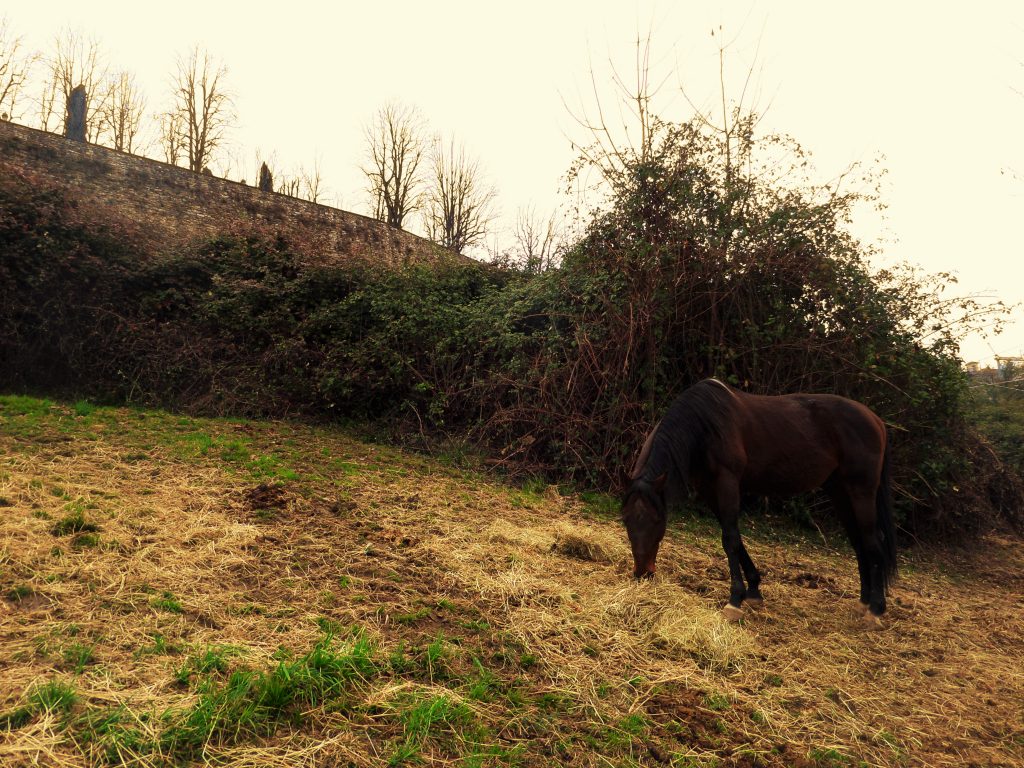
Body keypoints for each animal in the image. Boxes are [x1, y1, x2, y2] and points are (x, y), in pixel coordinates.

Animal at [614, 376, 897, 626]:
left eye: (657, 519)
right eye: (626, 519)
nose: (643, 572)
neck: (705, 426)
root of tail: (876, 421)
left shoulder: (727, 482)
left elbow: (729, 539)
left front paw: (734, 601)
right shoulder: (709, 490)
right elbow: (734, 538)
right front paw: (753, 590)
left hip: (861, 491)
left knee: (873, 541)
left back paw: (876, 609)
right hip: (840, 492)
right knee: (859, 542)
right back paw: (863, 602)